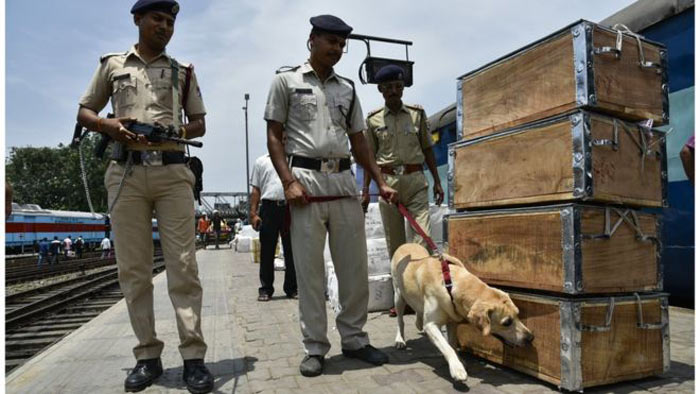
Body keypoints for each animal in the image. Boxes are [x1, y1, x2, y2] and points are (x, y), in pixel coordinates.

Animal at [392, 243, 532, 382]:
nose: (531, 338)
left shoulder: (452, 321)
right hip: (398, 296)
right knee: (400, 320)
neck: (450, 285)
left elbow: (452, 344)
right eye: (507, 322)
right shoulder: (431, 325)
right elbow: (447, 347)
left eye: (518, 314)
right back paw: (400, 340)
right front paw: (457, 368)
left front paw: (459, 361)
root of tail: (406, 244)